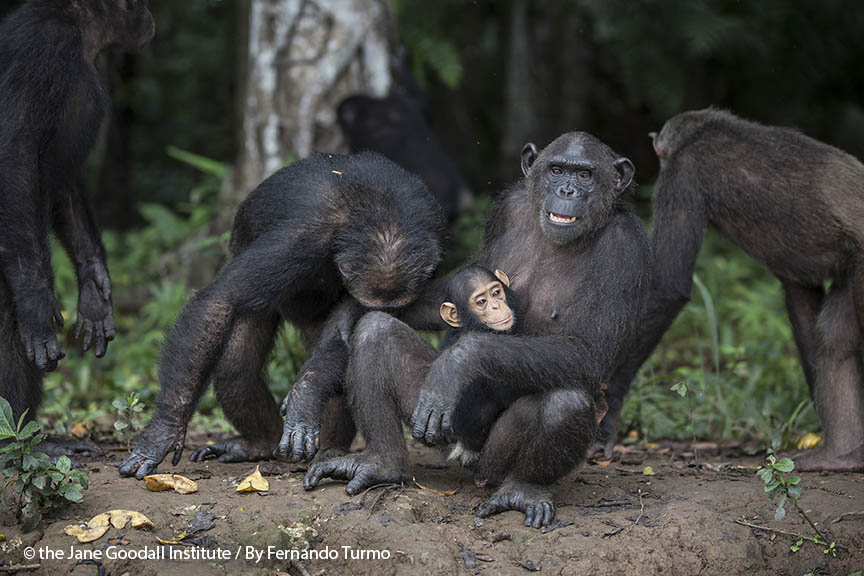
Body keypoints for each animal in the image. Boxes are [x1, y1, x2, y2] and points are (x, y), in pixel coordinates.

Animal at [0, 0, 154, 452]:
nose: (150, 15)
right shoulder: (45, 50)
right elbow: (16, 149)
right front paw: (35, 303)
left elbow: (65, 183)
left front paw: (95, 284)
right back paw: (23, 441)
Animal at [119, 152, 446, 476]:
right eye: (370, 305)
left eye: (395, 308)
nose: (373, 311)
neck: (384, 212)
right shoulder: (299, 239)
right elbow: (221, 299)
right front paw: (164, 431)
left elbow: (342, 338)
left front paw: (305, 395)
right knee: (237, 365)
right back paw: (260, 443)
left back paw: (329, 450)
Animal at [304, 133, 648, 528]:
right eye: (557, 170)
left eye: (586, 175)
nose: (567, 189)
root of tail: (465, 457)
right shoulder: (507, 209)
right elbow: (457, 282)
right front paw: (344, 318)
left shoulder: (626, 249)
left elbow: (588, 349)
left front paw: (461, 360)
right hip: (435, 431)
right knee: (376, 332)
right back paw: (382, 464)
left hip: (490, 458)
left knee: (567, 400)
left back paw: (522, 490)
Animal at [592, 109, 864, 472]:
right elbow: (803, 304)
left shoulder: (683, 173)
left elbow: (667, 284)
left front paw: (608, 408)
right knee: (836, 342)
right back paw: (841, 455)